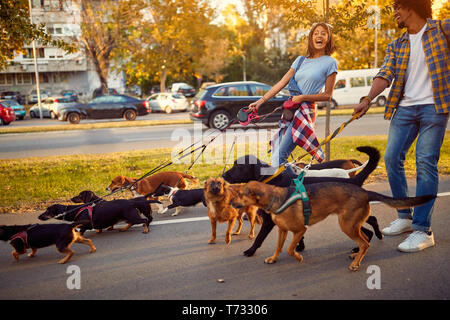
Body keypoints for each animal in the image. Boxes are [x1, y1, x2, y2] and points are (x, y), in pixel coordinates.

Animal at [223, 146, 382, 256]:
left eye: (239, 166)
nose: (223, 175)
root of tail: (353, 179)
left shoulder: (268, 221)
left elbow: (259, 238)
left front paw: (250, 251)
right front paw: (300, 247)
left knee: (368, 227)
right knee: (369, 224)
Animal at [230, 181, 434, 272]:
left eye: (240, 194)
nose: (230, 202)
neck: (277, 199)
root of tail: (365, 192)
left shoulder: (300, 230)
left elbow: (289, 249)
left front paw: (298, 256)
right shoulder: (282, 230)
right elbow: (279, 247)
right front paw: (273, 259)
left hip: (346, 225)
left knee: (365, 242)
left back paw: (355, 263)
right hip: (352, 224)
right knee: (365, 240)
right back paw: (356, 256)